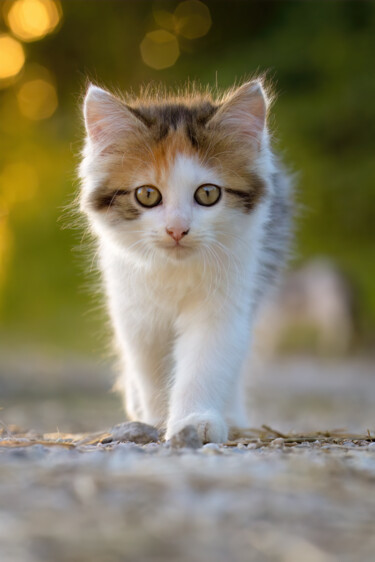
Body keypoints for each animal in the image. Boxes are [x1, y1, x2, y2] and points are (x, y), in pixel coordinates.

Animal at [78, 80, 290, 442]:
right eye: (147, 195)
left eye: (207, 194)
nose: (177, 229)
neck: (174, 270)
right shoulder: (134, 307)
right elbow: (148, 367)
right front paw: (156, 418)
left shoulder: (225, 301)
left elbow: (205, 363)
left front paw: (194, 420)